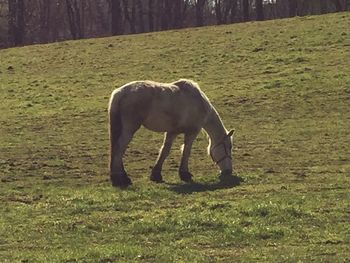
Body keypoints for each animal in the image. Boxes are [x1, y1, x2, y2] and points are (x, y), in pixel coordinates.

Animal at [107, 79, 235, 188]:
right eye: (228, 147)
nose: (228, 171)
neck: (198, 102)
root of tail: (119, 93)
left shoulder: (172, 132)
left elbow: (165, 150)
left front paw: (156, 175)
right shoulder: (192, 132)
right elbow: (186, 151)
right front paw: (185, 174)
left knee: (117, 150)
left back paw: (122, 177)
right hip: (129, 129)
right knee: (118, 149)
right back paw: (119, 179)